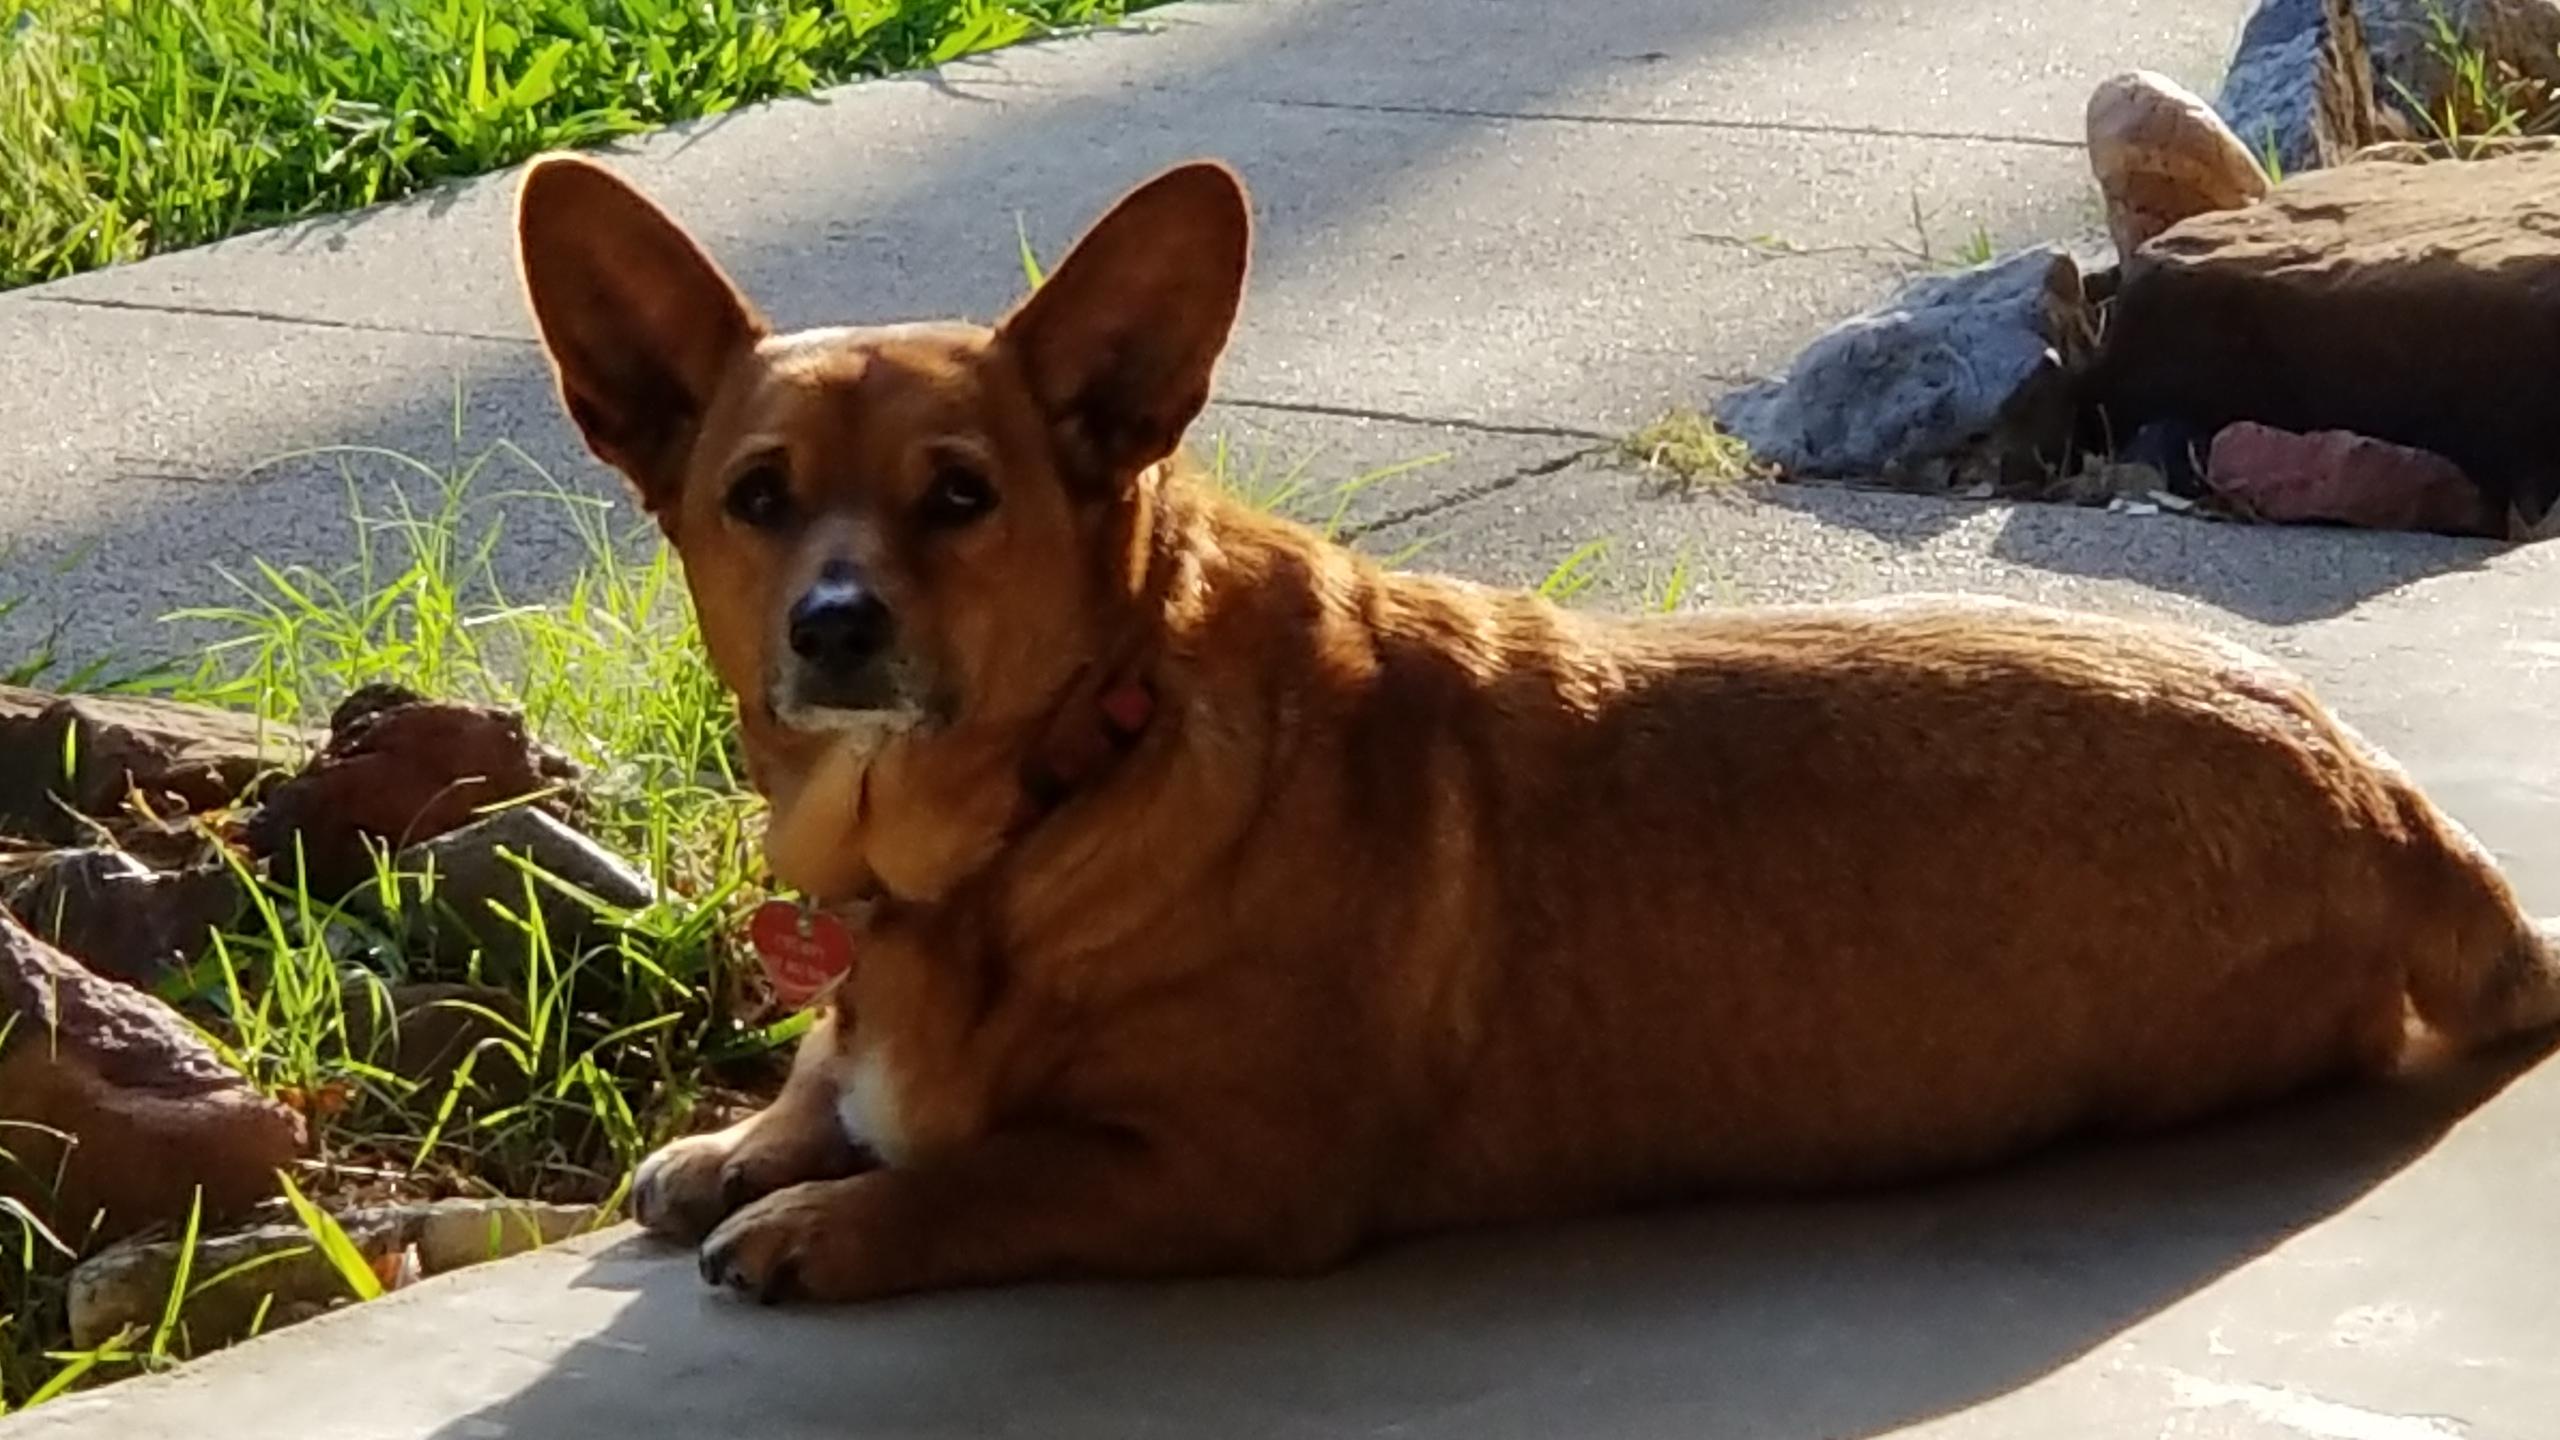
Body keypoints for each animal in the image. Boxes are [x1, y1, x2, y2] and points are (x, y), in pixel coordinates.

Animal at [514, 151, 2560, 1296]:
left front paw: (826, 1219)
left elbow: (981, 1173)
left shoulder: (1212, 1169)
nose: (835, 628)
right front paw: (767, 1136)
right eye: (758, 499)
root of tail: (2387, 793)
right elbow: (827, 1095)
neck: (1066, 779)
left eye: (962, 497)